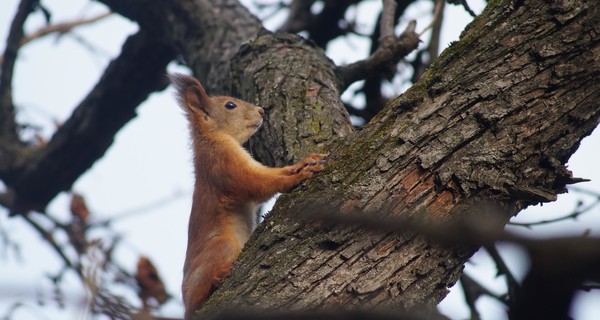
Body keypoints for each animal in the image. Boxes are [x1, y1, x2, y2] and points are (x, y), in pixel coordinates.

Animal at [169, 73, 328, 318]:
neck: (212, 138)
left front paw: (303, 163)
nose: (262, 110)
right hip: (221, 246)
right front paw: (298, 176)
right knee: (200, 295)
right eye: (230, 105)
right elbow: (257, 182)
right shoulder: (224, 164)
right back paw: (219, 276)